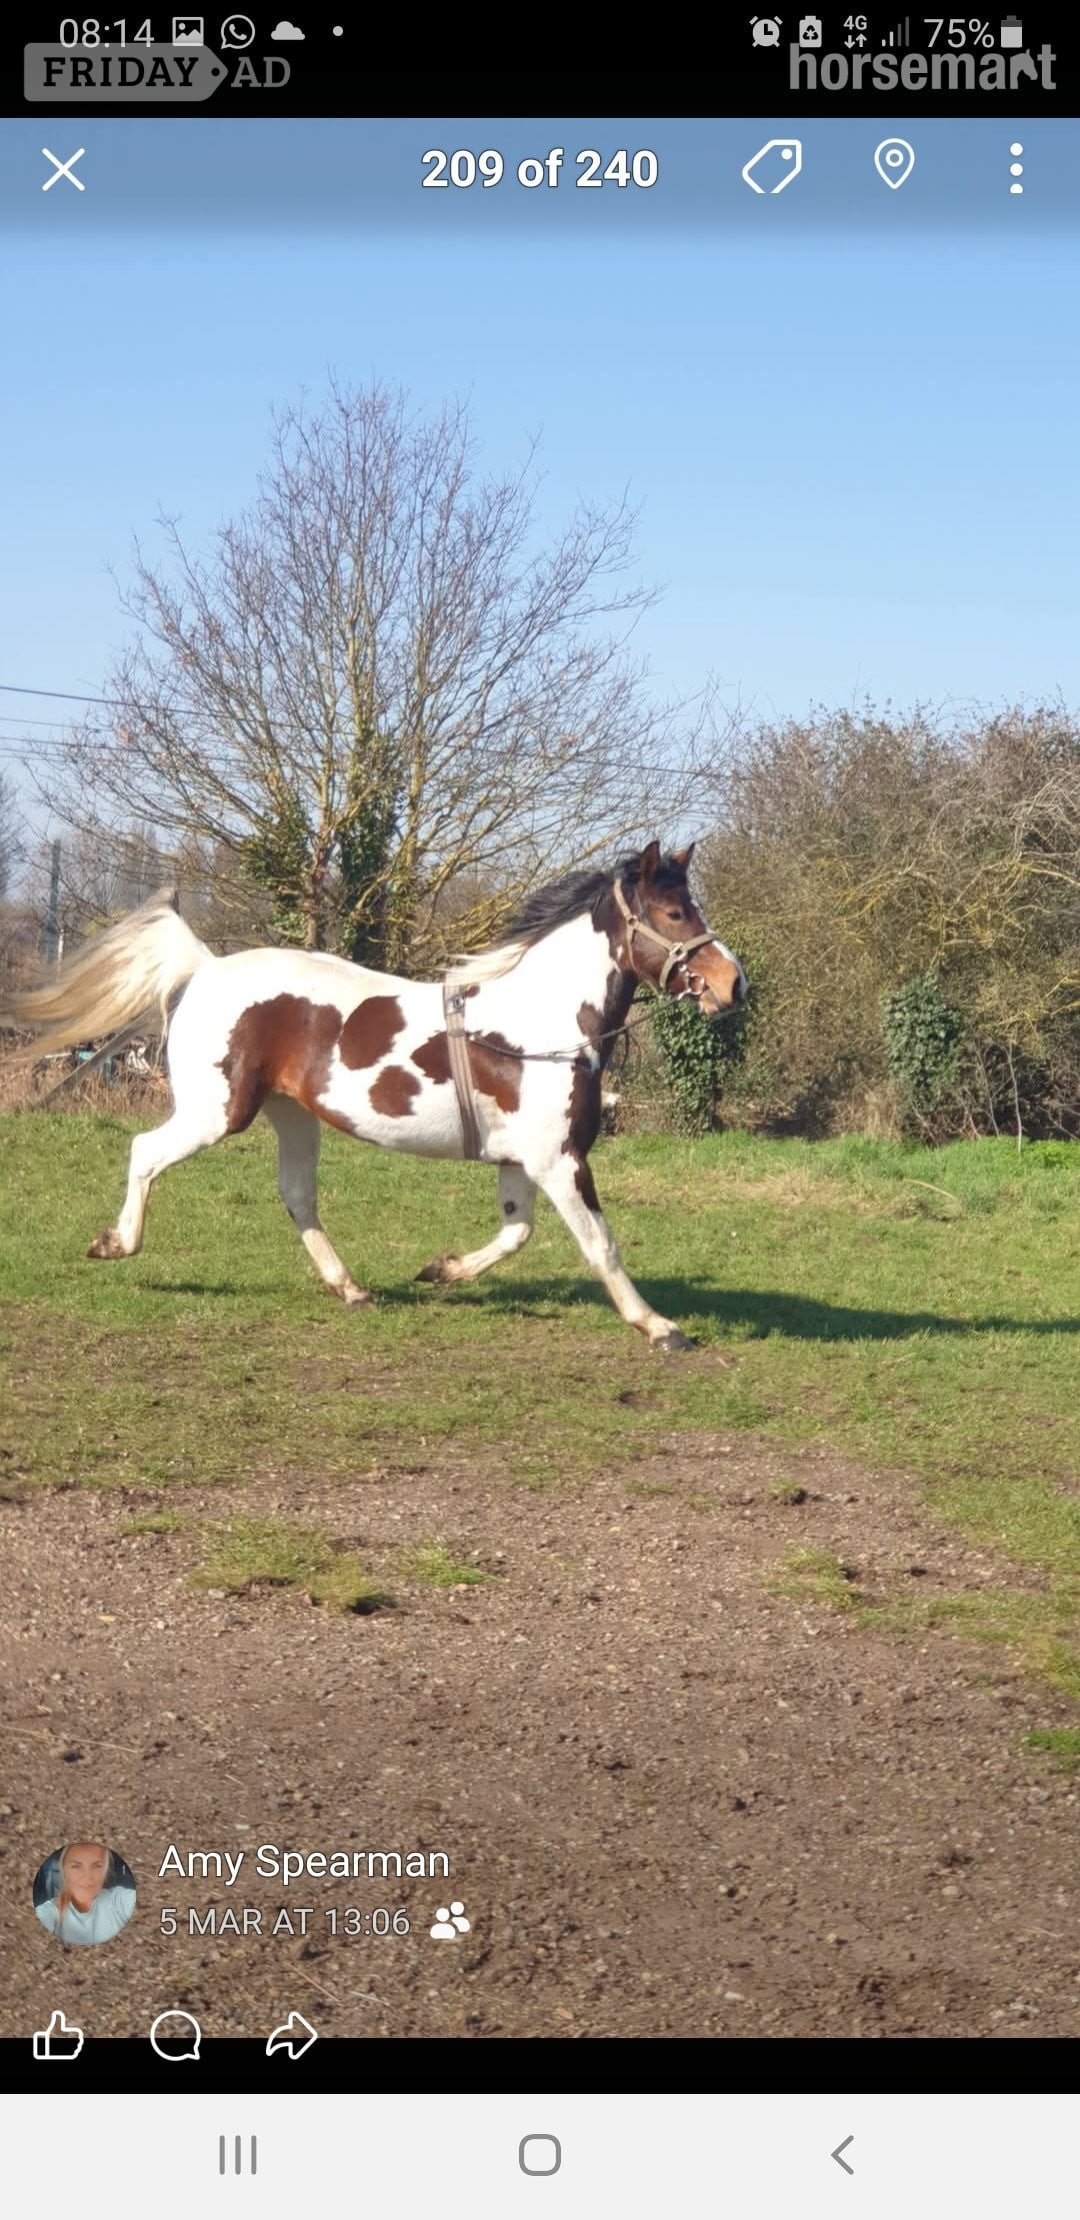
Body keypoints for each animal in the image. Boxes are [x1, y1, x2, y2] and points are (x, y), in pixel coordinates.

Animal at [10, 841, 746, 1351]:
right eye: (674, 912)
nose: (731, 983)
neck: (541, 1026)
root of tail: (206, 966)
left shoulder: (522, 1161)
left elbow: (516, 1233)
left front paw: (440, 1270)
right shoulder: (561, 1162)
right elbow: (601, 1245)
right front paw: (660, 1327)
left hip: (292, 1117)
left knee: (298, 1196)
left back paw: (353, 1289)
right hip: (215, 1113)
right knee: (146, 1151)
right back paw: (114, 1244)